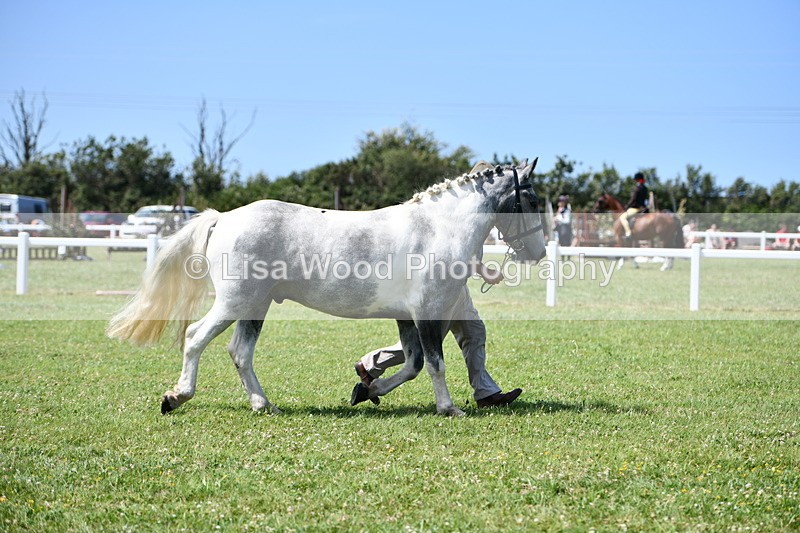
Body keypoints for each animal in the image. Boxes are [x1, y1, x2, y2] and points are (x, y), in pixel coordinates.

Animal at [107, 160, 547, 417]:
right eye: (531, 198)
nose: (539, 251)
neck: (438, 229)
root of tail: (224, 218)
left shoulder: (407, 316)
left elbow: (413, 364)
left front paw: (367, 390)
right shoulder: (427, 312)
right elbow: (435, 363)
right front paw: (448, 408)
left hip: (255, 306)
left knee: (240, 353)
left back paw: (262, 404)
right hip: (235, 301)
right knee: (196, 337)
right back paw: (176, 397)